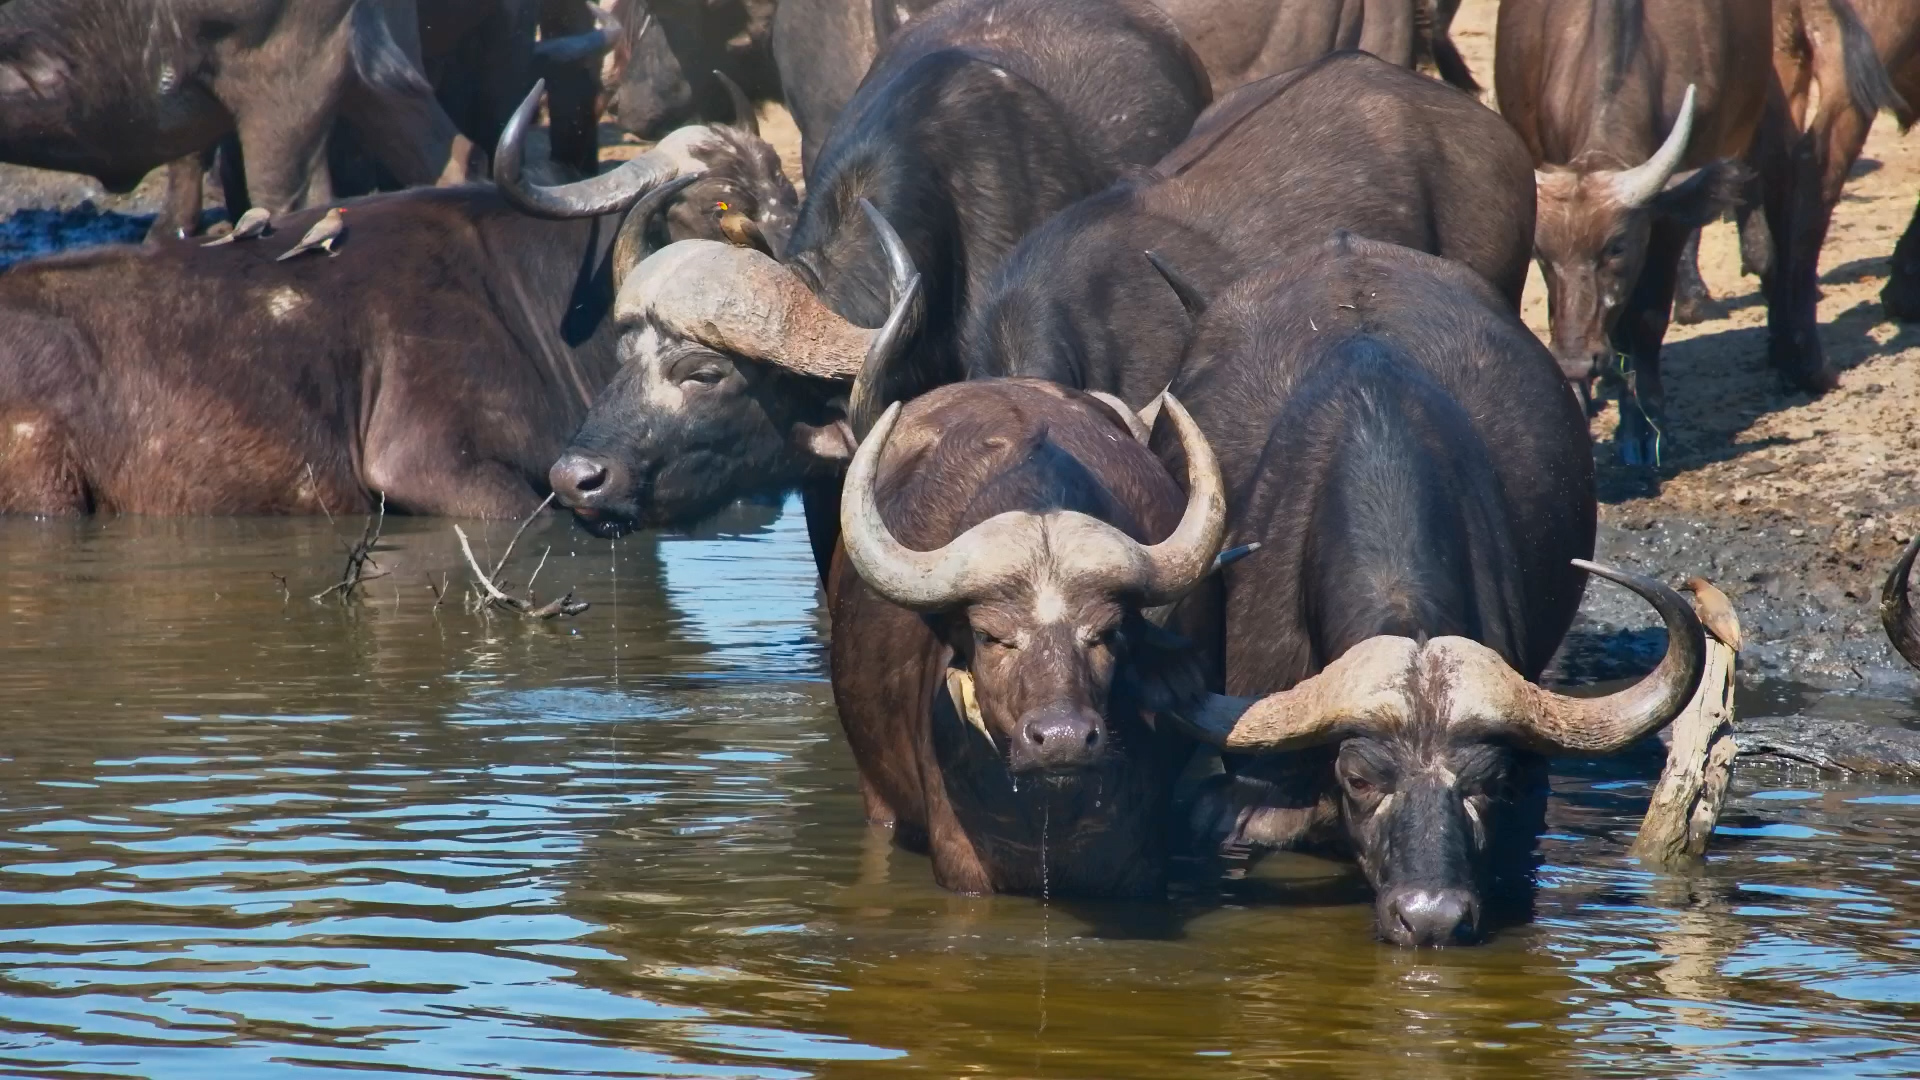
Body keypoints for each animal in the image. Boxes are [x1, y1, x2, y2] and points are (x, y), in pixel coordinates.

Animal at [829, 378, 1225, 895]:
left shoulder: (1135, 865)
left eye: (1107, 633)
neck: (1048, 810)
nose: (1062, 738)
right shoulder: (960, 862)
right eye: (989, 636)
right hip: (875, 789)